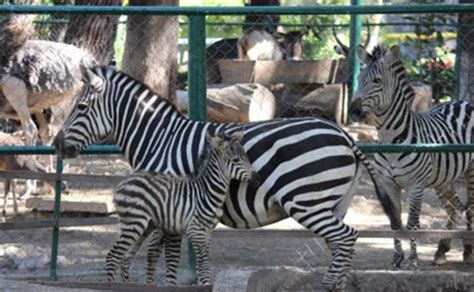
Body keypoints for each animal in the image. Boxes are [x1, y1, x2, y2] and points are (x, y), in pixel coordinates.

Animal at [106, 132, 258, 286]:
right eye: (235, 160)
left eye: (247, 157)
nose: (258, 179)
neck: (206, 191)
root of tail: (124, 182)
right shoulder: (196, 231)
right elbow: (203, 265)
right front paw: (205, 284)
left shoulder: (208, 231)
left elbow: (203, 266)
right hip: (134, 223)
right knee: (113, 257)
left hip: (145, 226)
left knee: (125, 259)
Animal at [350, 44, 472, 270]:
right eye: (359, 78)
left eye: (377, 81)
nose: (353, 111)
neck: (391, 139)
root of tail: (465, 102)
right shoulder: (389, 186)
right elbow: (395, 222)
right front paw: (397, 258)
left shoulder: (416, 186)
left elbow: (413, 223)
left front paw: (413, 260)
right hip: (442, 178)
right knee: (456, 207)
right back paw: (442, 250)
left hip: (470, 171)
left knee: (470, 206)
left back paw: (468, 251)